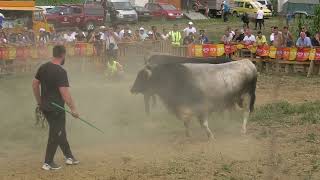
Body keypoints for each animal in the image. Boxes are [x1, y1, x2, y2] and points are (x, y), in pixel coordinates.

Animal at [130, 59, 258, 140]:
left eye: (142, 76)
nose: (132, 89)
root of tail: (248, 62)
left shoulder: (202, 107)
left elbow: (203, 124)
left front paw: (210, 136)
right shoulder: (185, 107)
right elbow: (186, 122)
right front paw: (188, 134)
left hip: (247, 96)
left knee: (246, 112)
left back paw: (243, 129)